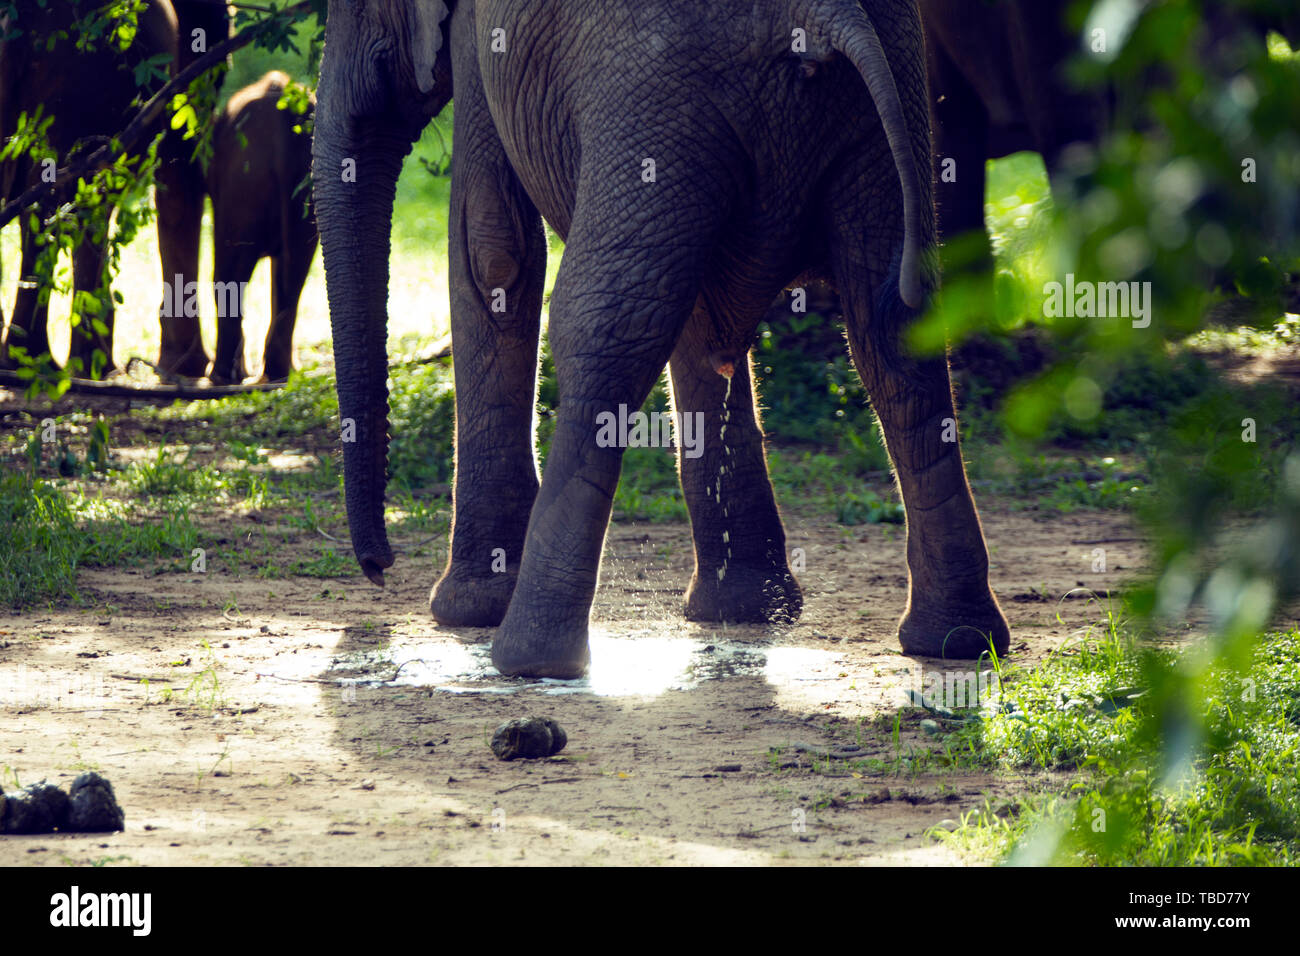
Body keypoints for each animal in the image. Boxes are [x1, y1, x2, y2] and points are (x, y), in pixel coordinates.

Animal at [208, 69, 322, 382]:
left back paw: (224, 375)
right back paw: (279, 373)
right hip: (307, 190)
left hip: (243, 185)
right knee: (294, 274)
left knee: (228, 271)